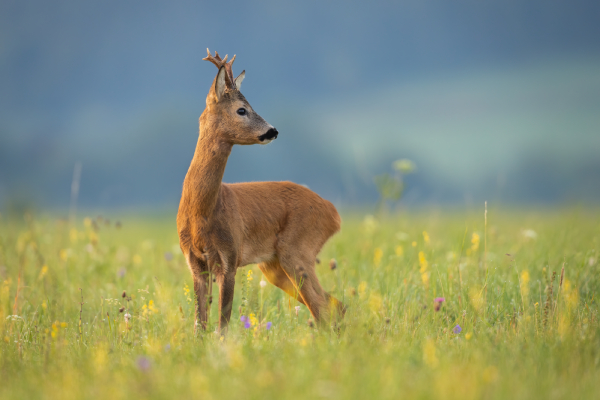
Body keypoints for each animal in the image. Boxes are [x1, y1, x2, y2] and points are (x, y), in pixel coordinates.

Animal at [176, 48, 344, 332]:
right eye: (241, 109)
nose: (272, 131)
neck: (202, 211)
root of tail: (334, 212)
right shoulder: (195, 262)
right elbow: (200, 325)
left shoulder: (230, 257)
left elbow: (222, 326)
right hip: (274, 265)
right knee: (333, 304)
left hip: (297, 251)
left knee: (323, 307)